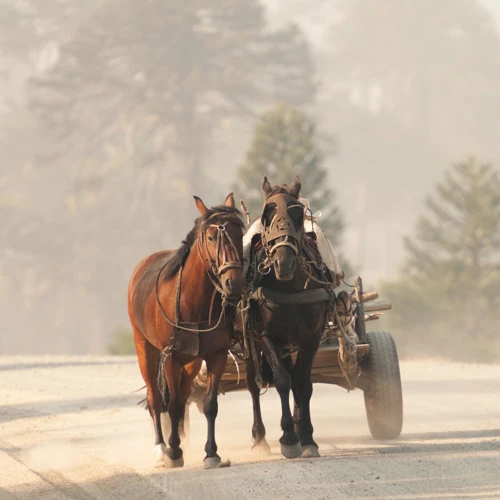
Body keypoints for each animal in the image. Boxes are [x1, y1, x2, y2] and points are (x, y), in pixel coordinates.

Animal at [128, 193, 245, 466]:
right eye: (212, 237)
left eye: (240, 234)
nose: (234, 282)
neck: (193, 301)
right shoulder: (170, 356)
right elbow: (170, 405)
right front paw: (172, 452)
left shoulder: (216, 354)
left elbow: (209, 404)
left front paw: (211, 453)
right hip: (144, 346)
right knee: (156, 398)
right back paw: (162, 448)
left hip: (192, 360)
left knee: (182, 395)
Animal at [247, 177, 332, 460]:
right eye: (267, 215)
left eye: (297, 214)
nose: (283, 263)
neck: (289, 287)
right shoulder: (265, 336)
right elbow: (283, 381)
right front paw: (288, 438)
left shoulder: (311, 338)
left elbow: (303, 385)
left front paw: (306, 437)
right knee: (253, 385)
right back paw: (259, 438)